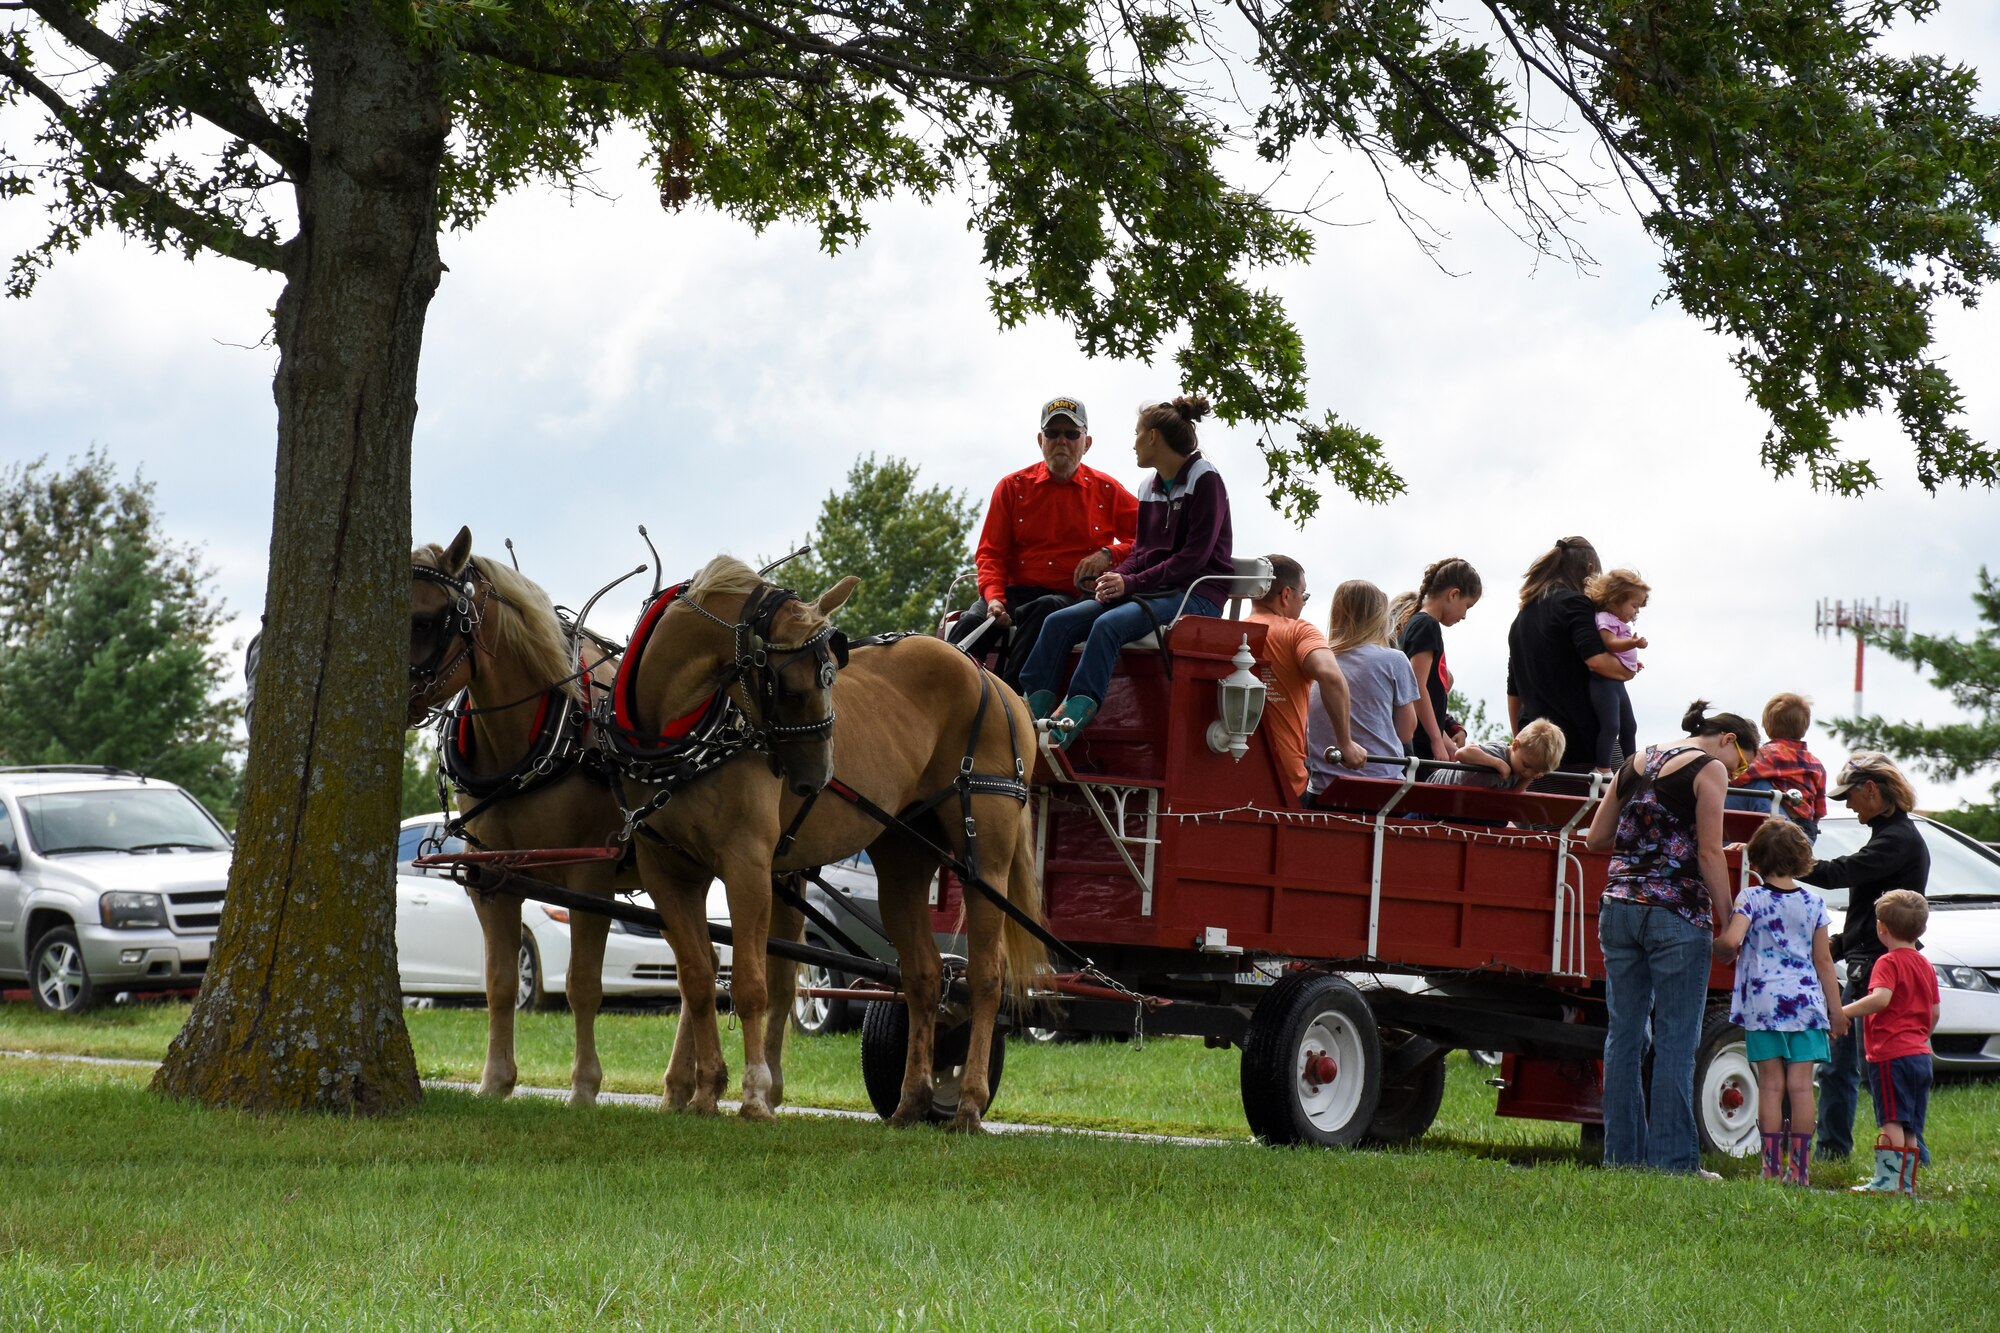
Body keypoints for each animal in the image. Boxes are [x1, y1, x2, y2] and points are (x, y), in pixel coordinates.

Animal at [624, 564, 1056, 1128]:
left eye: (831, 674)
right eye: (786, 683)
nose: (819, 775)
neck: (689, 737)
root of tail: (997, 683)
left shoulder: (747, 865)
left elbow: (752, 984)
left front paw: (754, 1097)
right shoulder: (668, 870)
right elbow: (697, 980)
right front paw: (703, 1093)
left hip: (986, 855)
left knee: (985, 978)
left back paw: (966, 1103)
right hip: (904, 859)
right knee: (924, 977)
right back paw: (910, 1101)